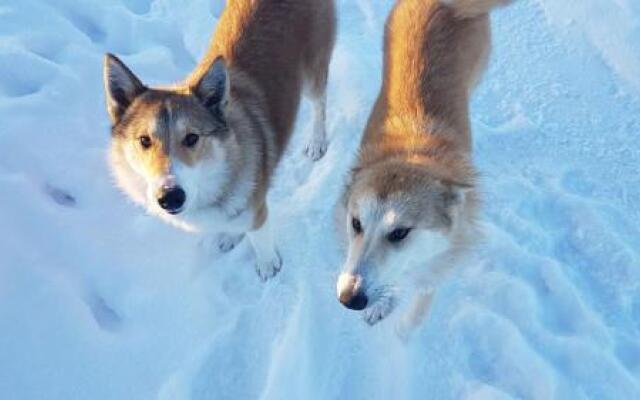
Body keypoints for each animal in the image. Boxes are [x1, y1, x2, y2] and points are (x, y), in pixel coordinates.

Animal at [104, 0, 336, 282]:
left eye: (192, 137)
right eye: (144, 140)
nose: (170, 197)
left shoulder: (257, 208)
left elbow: (259, 236)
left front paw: (268, 265)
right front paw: (228, 235)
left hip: (314, 70)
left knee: (319, 105)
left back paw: (316, 142)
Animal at [336, 0, 510, 328]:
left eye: (400, 233)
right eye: (356, 223)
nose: (349, 299)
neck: (412, 155)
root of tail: (441, 3)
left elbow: (419, 300)